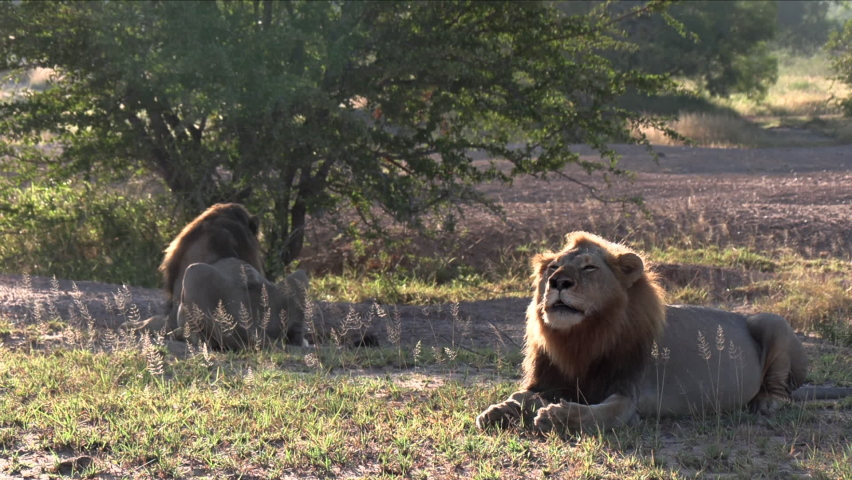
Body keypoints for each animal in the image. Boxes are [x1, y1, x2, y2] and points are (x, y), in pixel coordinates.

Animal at [476, 232, 849, 434]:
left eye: (589, 268)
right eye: (553, 268)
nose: (557, 282)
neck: (580, 338)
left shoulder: (627, 398)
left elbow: (596, 413)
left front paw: (556, 416)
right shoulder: (550, 379)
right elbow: (522, 394)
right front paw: (498, 411)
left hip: (773, 322)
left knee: (782, 390)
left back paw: (766, 402)